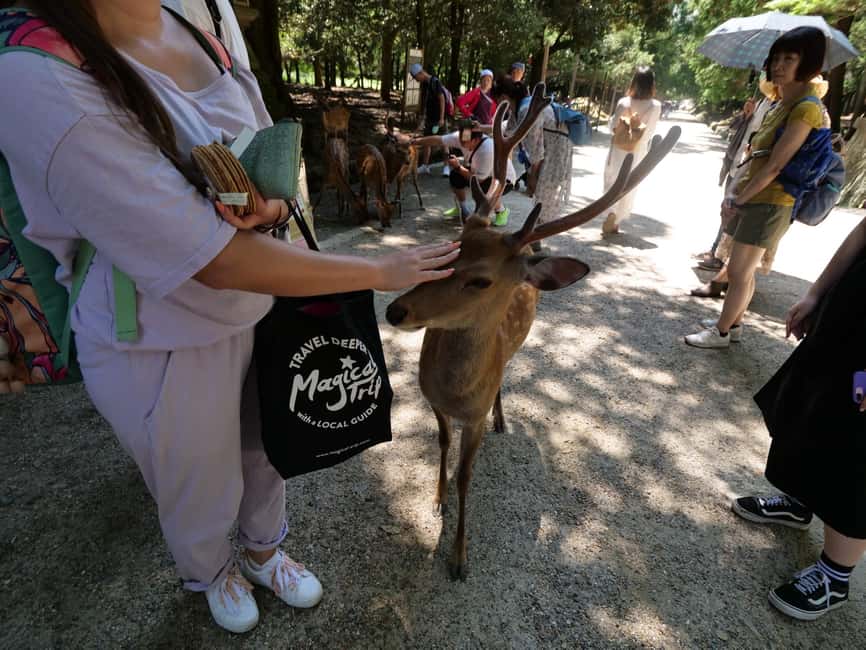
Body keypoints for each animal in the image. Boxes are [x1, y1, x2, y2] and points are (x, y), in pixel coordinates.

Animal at [384, 83, 681, 581]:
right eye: (450, 248)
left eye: (481, 280)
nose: (394, 310)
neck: (456, 393)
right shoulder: (433, 402)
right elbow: (441, 445)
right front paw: (436, 500)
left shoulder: (473, 415)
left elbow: (468, 475)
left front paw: (460, 558)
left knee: (506, 377)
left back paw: (503, 419)